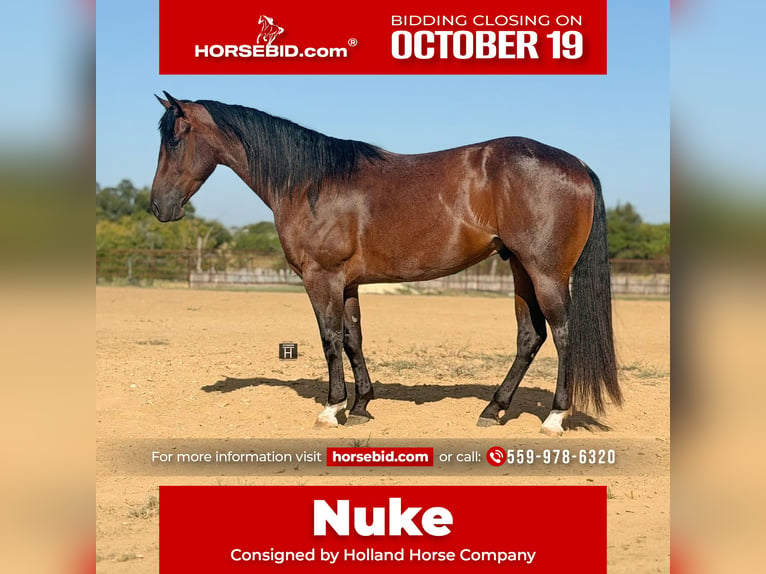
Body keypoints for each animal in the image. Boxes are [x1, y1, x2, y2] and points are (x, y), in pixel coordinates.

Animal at [150, 92, 622, 435]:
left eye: (174, 139)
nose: (158, 206)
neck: (311, 183)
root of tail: (578, 164)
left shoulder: (321, 278)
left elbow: (329, 339)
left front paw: (332, 409)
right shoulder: (348, 283)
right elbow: (353, 339)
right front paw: (361, 405)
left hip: (546, 273)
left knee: (563, 335)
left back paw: (554, 418)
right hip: (520, 268)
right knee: (530, 336)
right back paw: (494, 409)